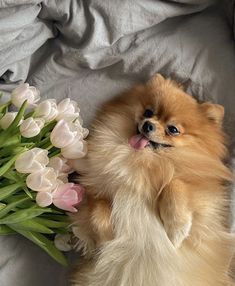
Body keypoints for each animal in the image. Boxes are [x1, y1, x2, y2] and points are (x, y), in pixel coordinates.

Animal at [70, 74, 234, 286]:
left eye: (173, 129)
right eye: (148, 111)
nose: (148, 124)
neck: (142, 160)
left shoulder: (204, 200)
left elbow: (174, 184)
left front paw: (176, 230)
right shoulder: (95, 191)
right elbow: (98, 210)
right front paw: (105, 238)